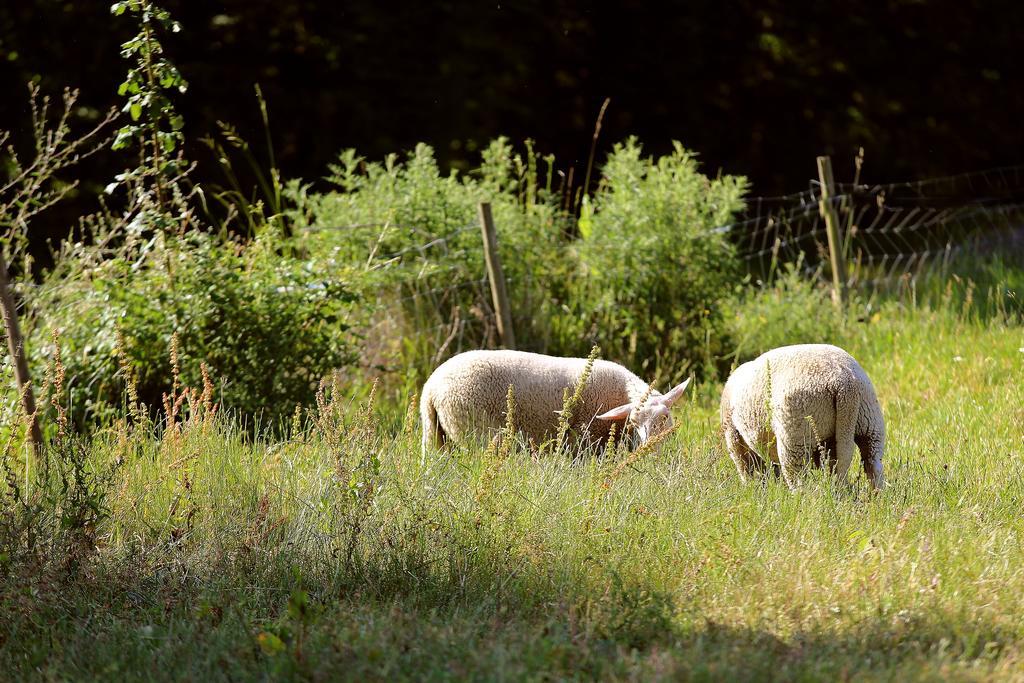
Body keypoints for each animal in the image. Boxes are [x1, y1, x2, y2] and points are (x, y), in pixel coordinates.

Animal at [419, 350, 692, 456]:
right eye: (634, 423)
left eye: (665, 417)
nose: (650, 445)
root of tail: (431, 388)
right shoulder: (584, 442)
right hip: (476, 431)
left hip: (436, 435)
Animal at [716, 344, 884, 489]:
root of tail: (844, 383)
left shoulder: (733, 434)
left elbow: (746, 467)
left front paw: (753, 488)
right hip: (869, 419)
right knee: (872, 462)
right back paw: (875, 496)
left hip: (797, 432)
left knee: (797, 475)